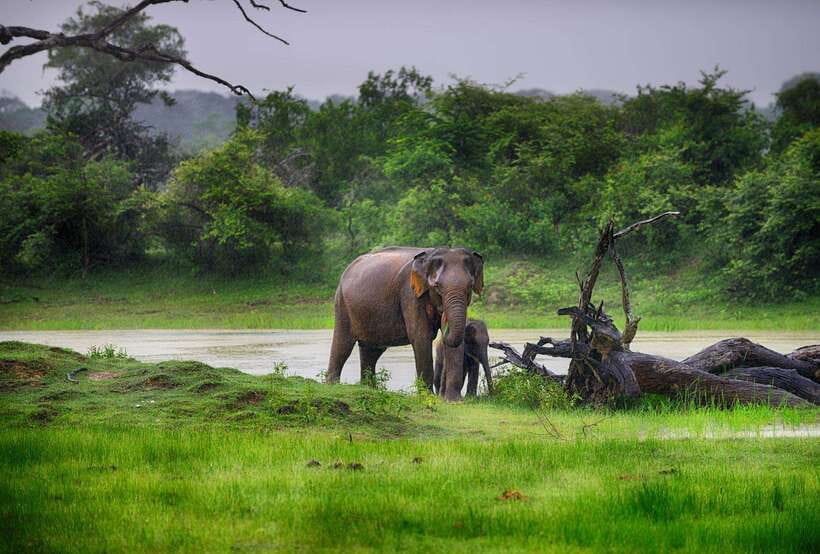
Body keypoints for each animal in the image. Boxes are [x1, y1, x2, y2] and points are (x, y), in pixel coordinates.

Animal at [325, 246, 484, 400]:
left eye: (470, 286)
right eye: (437, 286)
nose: (443, 324)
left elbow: (457, 343)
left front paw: (453, 401)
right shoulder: (410, 294)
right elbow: (421, 336)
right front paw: (428, 397)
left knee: (371, 351)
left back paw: (368, 389)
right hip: (342, 304)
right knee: (343, 345)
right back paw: (333, 386)